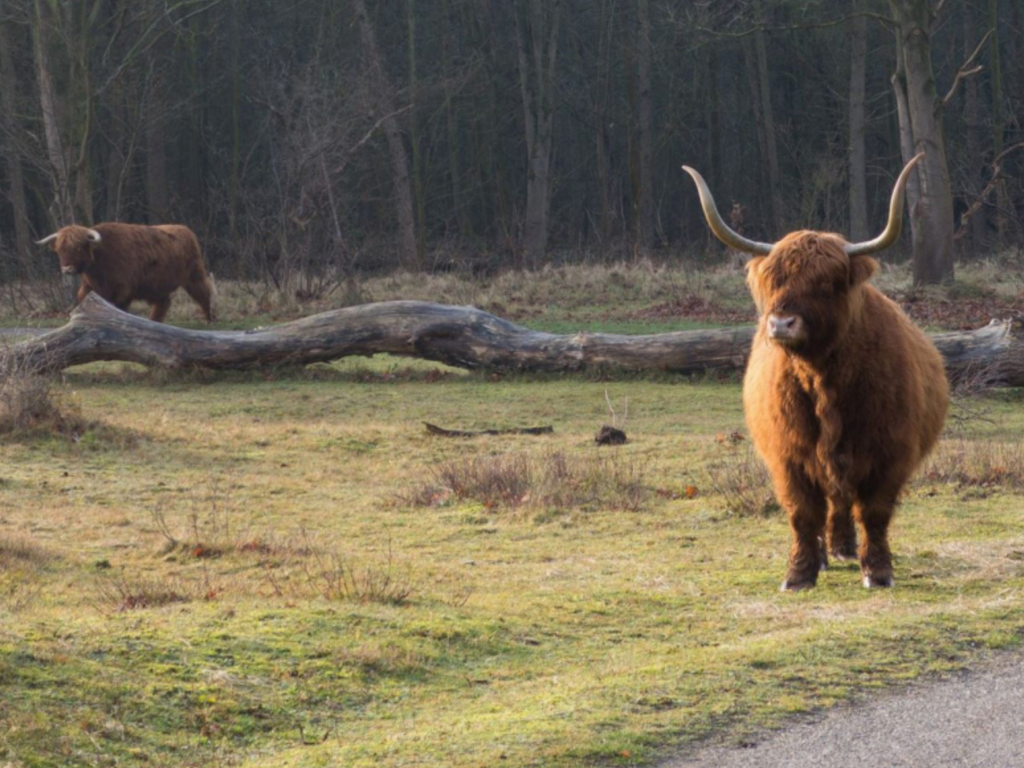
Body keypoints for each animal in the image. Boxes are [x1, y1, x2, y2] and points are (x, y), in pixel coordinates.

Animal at [38, 221, 216, 323]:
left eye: (78, 247)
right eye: (60, 249)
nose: (66, 269)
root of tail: (186, 230)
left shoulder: (122, 291)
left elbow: (118, 309)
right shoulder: (88, 288)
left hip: (194, 275)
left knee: (204, 293)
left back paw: (209, 320)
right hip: (157, 286)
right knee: (164, 303)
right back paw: (154, 321)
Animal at [684, 153, 946, 593]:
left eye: (826, 283)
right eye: (774, 280)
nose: (781, 323)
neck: (823, 380)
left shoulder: (888, 453)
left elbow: (874, 512)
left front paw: (877, 571)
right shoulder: (788, 455)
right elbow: (802, 513)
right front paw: (799, 573)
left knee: (843, 502)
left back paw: (843, 549)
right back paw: (827, 555)